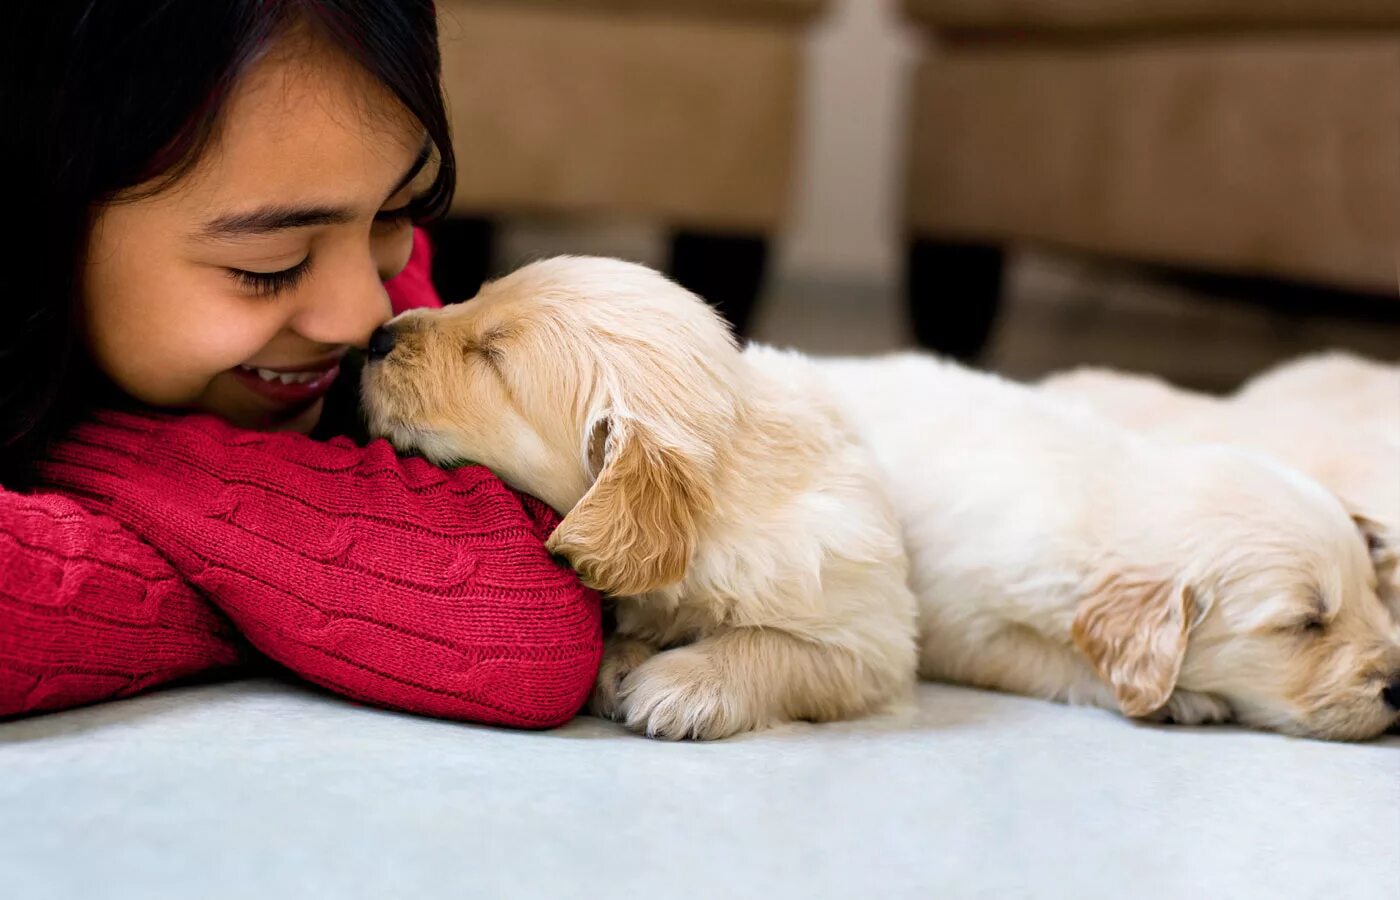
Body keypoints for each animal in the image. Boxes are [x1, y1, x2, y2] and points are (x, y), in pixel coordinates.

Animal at [358, 257, 918, 744]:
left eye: (493, 359)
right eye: (477, 295)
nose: (377, 337)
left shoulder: (871, 640)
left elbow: (779, 645)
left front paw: (687, 684)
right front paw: (621, 659)